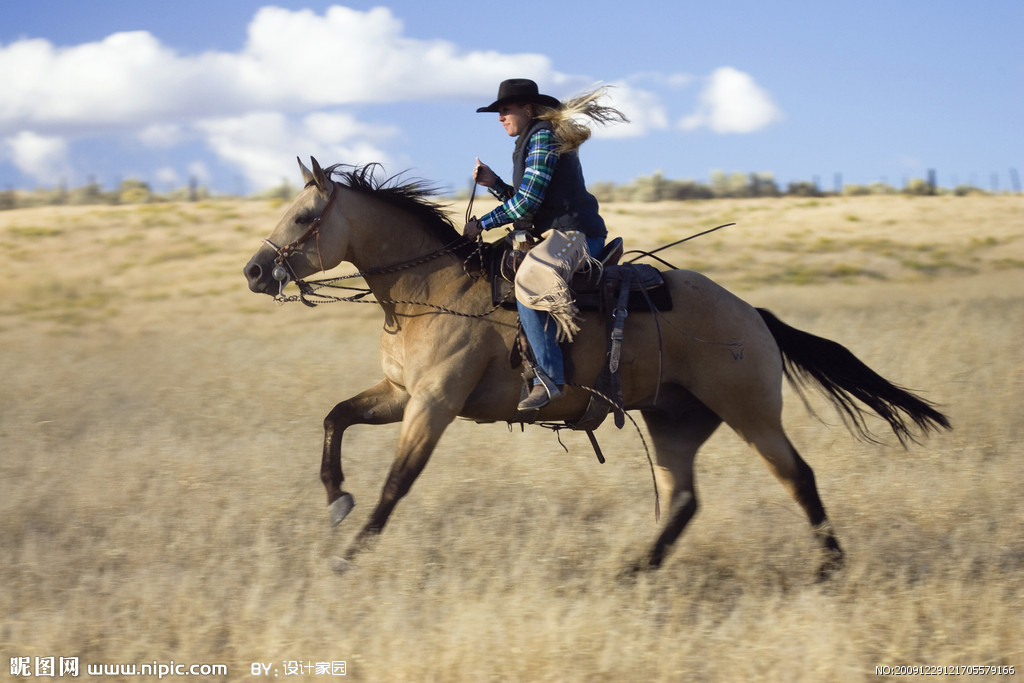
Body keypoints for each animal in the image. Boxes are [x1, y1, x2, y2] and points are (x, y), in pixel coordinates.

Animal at [243, 156, 946, 577]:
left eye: (304, 216)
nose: (253, 270)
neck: (430, 286)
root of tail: (752, 313)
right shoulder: (397, 394)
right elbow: (335, 419)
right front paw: (337, 500)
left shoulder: (433, 405)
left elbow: (396, 483)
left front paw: (348, 557)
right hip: (672, 421)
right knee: (682, 498)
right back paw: (636, 572)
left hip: (751, 413)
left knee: (797, 477)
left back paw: (830, 568)